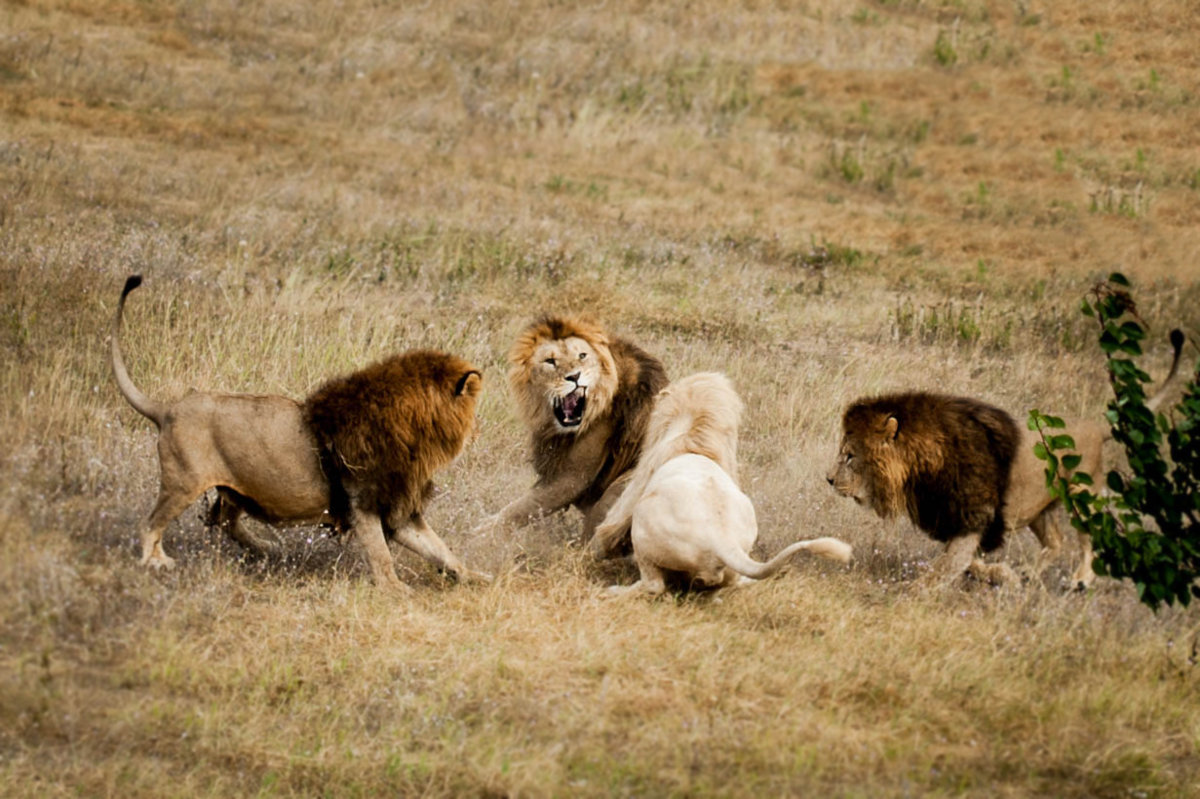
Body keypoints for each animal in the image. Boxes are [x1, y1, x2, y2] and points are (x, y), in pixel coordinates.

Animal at [111, 271, 487, 587]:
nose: (478, 432)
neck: (415, 432)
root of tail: (168, 409)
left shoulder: (398, 507)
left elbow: (441, 549)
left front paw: (475, 577)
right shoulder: (363, 502)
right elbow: (381, 555)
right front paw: (396, 591)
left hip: (233, 489)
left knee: (223, 520)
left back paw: (267, 549)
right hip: (183, 482)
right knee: (151, 524)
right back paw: (157, 563)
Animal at [475, 311, 667, 554]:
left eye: (582, 355)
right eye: (550, 361)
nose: (575, 377)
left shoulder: (574, 476)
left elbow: (524, 506)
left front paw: (481, 533)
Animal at [595, 371, 849, 590]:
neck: (695, 437)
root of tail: (721, 539)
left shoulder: (642, 475)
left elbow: (611, 522)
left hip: (643, 529)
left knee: (653, 586)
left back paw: (613, 590)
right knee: (734, 583)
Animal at [830, 333, 1185, 587]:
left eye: (849, 456)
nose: (829, 480)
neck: (921, 467)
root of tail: (1096, 426)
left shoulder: (973, 516)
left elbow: (945, 565)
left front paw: (913, 592)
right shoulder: (958, 520)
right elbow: (963, 560)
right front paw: (999, 574)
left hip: (1083, 497)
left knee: (1088, 539)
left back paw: (1081, 579)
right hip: (1039, 505)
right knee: (1056, 542)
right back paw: (1029, 573)